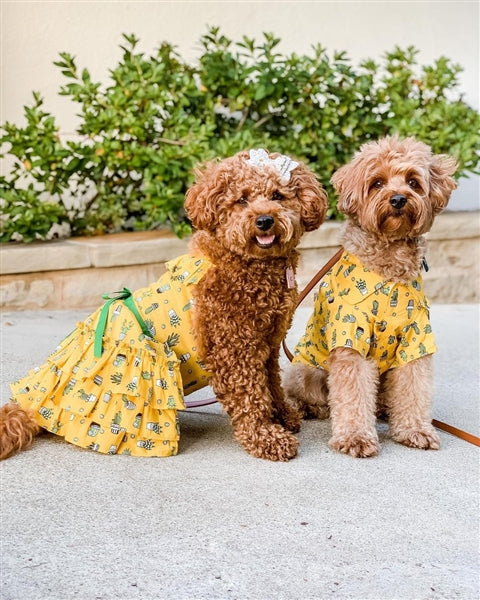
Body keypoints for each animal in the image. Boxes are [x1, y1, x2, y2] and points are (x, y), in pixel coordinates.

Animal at [0, 149, 328, 460]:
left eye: (277, 196)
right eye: (241, 200)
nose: (264, 221)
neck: (249, 264)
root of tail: (31, 403)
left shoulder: (267, 346)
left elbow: (272, 384)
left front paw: (283, 417)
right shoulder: (234, 349)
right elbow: (251, 396)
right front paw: (265, 437)